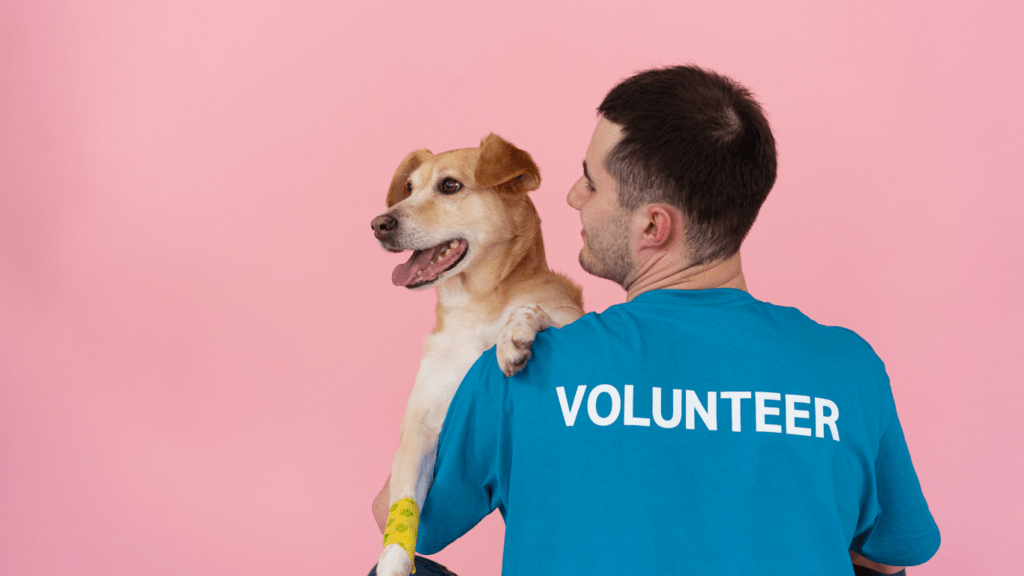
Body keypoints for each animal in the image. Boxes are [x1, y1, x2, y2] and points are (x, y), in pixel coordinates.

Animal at [370, 133, 585, 573]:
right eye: (409, 188)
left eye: (450, 185)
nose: (378, 224)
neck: (474, 307)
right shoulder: (420, 430)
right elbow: (403, 516)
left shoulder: (570, 314)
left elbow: (536, 311)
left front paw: (514, 336)